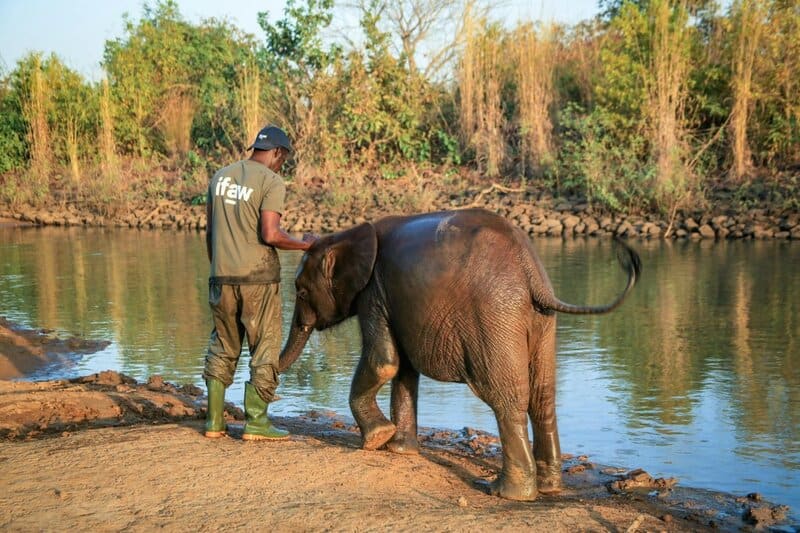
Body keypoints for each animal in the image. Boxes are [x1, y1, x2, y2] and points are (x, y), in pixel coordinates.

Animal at [278, 208, 641, 501]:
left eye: (301, 291)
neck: (346, 234)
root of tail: (530, 271)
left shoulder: (373, 294)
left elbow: (385, 362)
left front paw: (376, 440)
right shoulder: (394, 301)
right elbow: (404, 370)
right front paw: (399, 449)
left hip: (494, 315)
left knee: (506, 398)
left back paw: (505, 492)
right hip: (541, 321)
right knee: (542, 396)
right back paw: (549, 487)